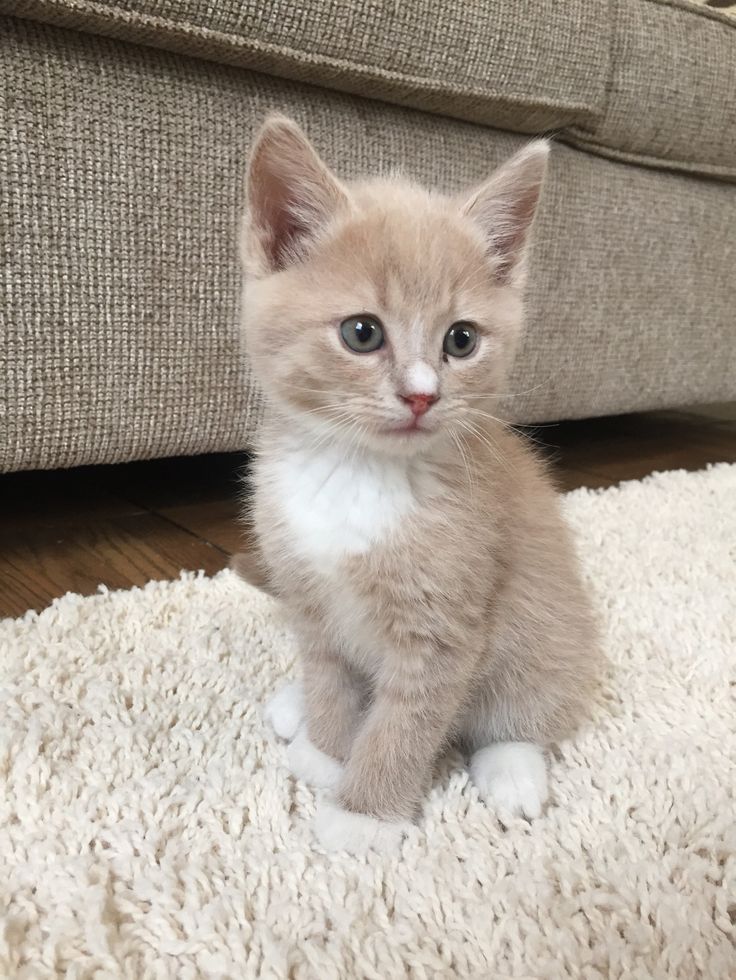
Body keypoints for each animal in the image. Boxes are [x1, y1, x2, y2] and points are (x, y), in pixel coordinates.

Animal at [239, 113, 600, 848]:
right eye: (361, 332)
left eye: (461, 340)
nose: (422, 396)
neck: (356, 473)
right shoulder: (310, 597)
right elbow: (328, 677)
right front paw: (325, 750)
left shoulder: (443, 628)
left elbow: (405, 724)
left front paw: (361, 816)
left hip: (549, 630)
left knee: (525, 710)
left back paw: (513, 771)